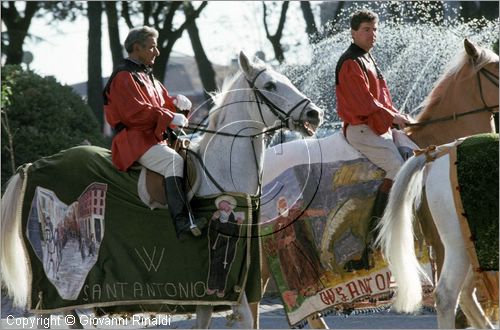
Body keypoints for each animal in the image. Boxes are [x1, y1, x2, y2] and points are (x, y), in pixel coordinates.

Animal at [0, 51, 324, 328]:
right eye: (270, 85)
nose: (314, 114)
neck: (222, 170)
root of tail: (32, 165)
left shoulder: (210, 290)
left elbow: (206, 320)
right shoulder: (234, 281)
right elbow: (245, 316)